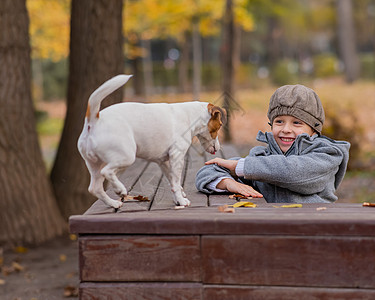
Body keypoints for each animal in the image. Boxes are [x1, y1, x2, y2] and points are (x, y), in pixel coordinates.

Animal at [78, 75, 226, 209]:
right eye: (219, 126)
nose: (218, 148)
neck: (191, 116)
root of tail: (94, 121)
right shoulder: (177, 156)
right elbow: (176, 182)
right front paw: (181, 200)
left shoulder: (164, 162)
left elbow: (173, 183)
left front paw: (177, 198)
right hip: (126, 157)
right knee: (107, 172)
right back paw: (120, 190)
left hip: (95, 165)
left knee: (95, 188)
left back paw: (113, 203)